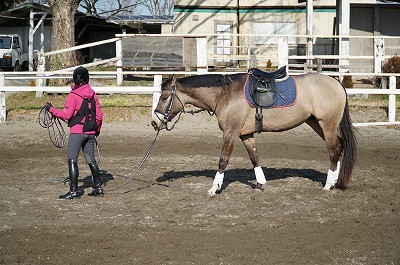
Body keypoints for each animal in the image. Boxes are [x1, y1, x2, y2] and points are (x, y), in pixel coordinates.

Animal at [151, 67, 356, 196]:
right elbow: (254, 157)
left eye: (164, 97)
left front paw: (214, 188)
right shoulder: (245, 135)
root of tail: (337, 84)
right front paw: (260, 183)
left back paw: (328, 184)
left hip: (327, 125)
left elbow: (223, 160)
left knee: (334, 150)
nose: (154, 122)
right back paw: (334, 181)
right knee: (339, 147)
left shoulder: (231, 133)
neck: (225, 94)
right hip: (316, 123)